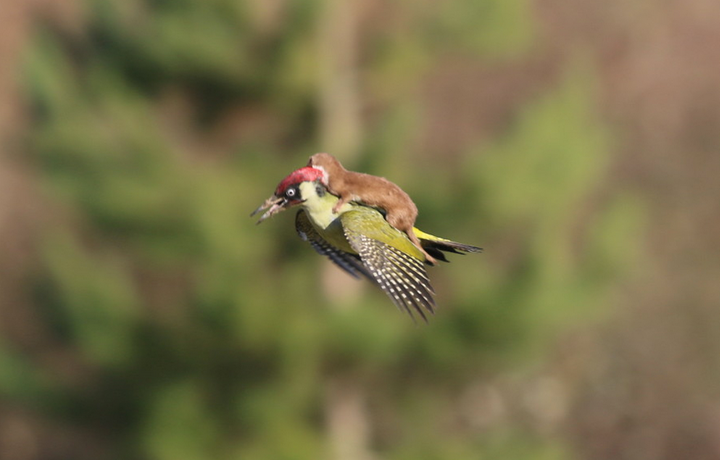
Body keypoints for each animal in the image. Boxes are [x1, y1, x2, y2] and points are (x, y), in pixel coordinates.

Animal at [306, 152, 436, 264]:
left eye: (308, 162)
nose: (305, 165)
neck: (334, 176)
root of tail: (411, 220)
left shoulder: (344, 189)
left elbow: (345, 197)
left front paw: (336, 208)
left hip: (395, 215)